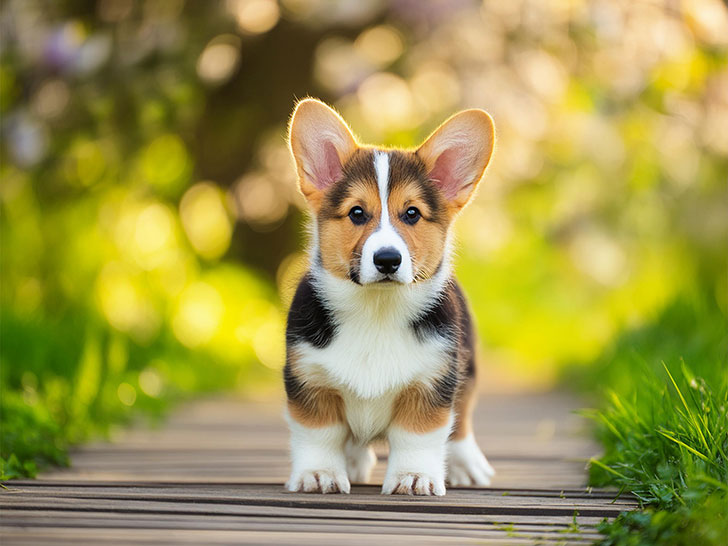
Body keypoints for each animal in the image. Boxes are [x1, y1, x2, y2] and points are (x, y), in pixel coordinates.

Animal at [282, 98, 494, 492]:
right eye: (356, 212)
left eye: (412, 213)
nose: (387, 260)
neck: (376, 310)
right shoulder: (310, 380)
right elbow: (319, 434)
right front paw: (319, 474)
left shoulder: (432, 382)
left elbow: (418, 436)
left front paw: (414, 477)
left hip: (467, 369)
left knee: (463, 419)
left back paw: (466, 463)